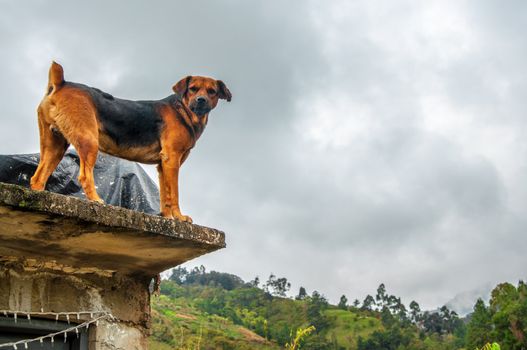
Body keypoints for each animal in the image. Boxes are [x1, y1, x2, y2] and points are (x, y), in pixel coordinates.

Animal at [30, 61, 231, 223]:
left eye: (212, 91)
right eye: (193, 89)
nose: (201, 100)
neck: (184, 110)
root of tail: (61, 83)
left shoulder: (163, 165)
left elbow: (164, 195)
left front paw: (167, 218)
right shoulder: (172, 159)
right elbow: (174, 193)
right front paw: (179, 218)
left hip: (54, 145)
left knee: (37, 177)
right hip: (89, 141)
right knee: (85, 176)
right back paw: (96, 200)